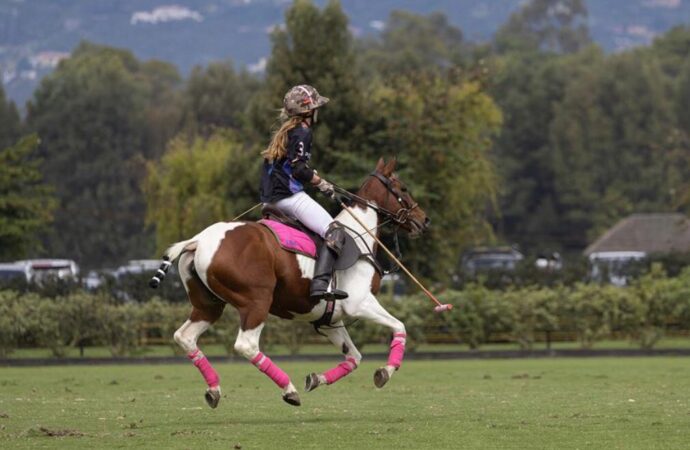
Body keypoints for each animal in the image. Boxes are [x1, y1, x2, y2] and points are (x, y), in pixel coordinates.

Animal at [153, 157, 428, 408]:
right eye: (403, 188)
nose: (424, 220)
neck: (359, 238)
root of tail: (198, 240)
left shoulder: (330, 319)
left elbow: (354, 357)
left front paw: (315, 379)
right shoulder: (359, 303)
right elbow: (400, 326)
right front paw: (385, 372)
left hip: (209, 305)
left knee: (184, 336)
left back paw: (214, 390)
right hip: (256, 302)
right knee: (246, 344)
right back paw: (289, 389)